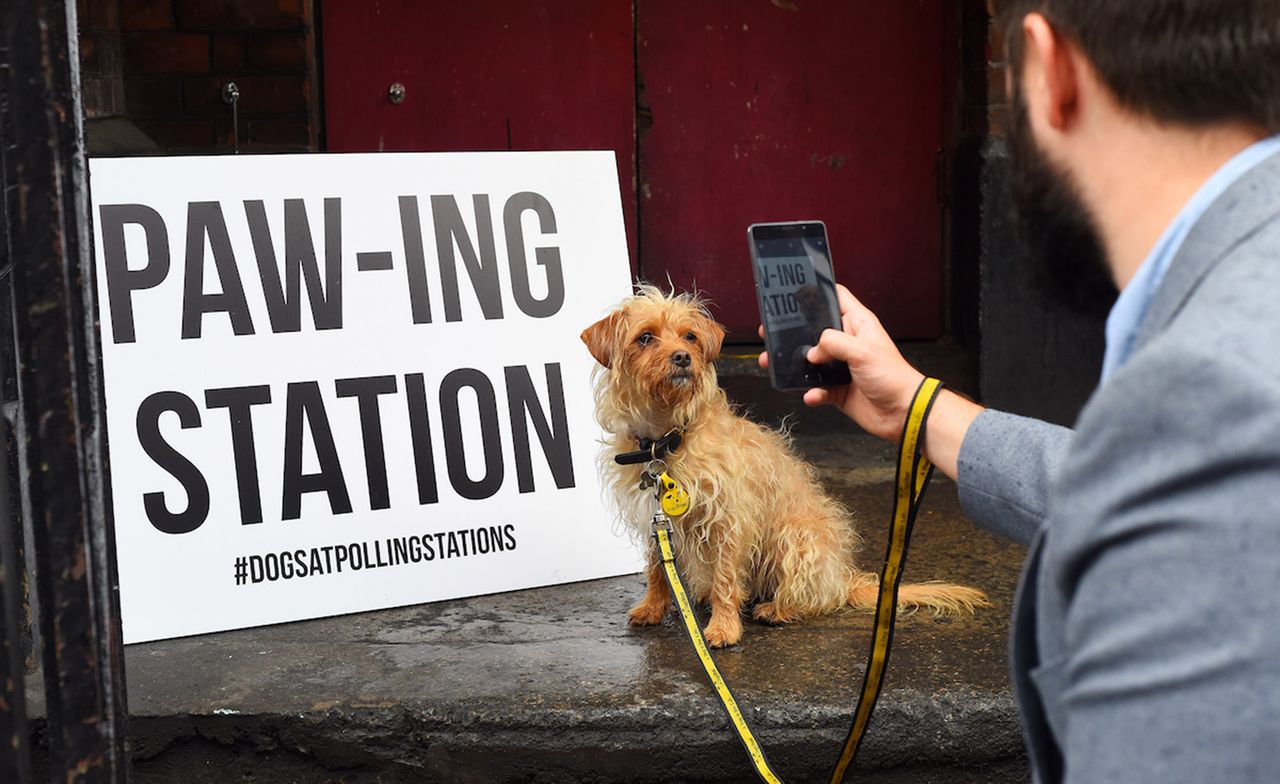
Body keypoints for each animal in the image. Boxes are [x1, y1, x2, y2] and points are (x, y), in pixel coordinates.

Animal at [581, 284, 988, 645]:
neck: (667, 437)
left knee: (818, 598)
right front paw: (652, 608)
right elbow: (656, 567)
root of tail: (842, 578)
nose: (682, 357)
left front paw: (724, 628)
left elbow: (726, 578)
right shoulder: (654, 516)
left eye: (691, 337)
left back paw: (778, 608)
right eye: (645, 338)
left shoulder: (729, 518)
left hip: (796, 537)